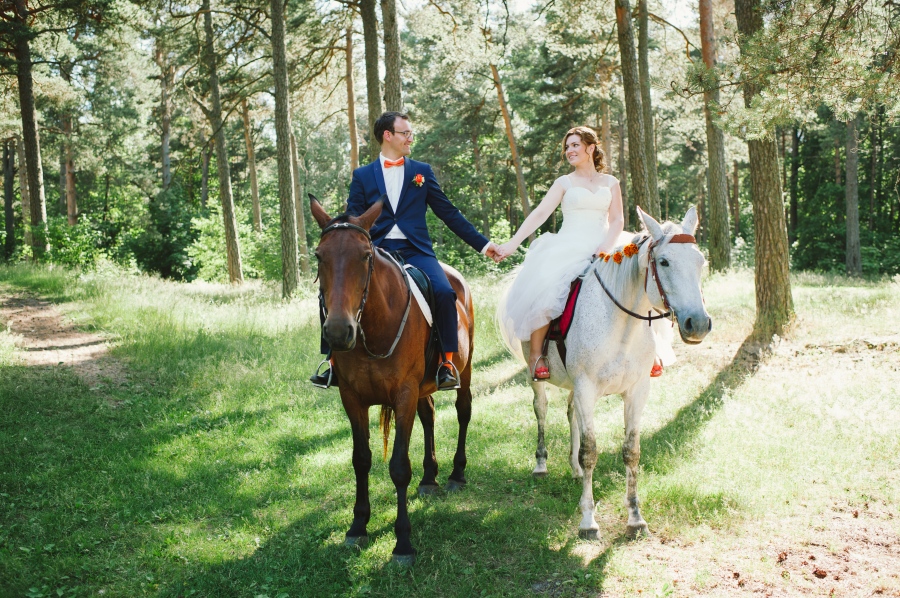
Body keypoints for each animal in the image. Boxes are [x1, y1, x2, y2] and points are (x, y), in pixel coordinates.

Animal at [309, 196, 475, 566]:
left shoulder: (403, 395)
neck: (373, 326)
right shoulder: (352, 398)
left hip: (465, 371)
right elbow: (361, 459)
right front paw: (358, 526)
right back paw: (429, 478)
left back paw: (456, 474)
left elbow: (399, 467)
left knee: (463, 412)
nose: (338, 332)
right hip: (422, 388)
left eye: (365, 256)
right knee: (429, 415)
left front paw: (403, 544)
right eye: (319, 256)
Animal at [521, 206, 711, 539]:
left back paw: (574, 470)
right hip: (537, 376)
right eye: (664, 261)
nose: (698, 323)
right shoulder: (586, 389)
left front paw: (635, 518)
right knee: (541, 409)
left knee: (570, 414)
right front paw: (587, 521)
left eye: (700, 261)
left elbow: (631, 451)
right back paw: (541, 464)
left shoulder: (636, 391)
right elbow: (590, 451)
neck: (621, 324)